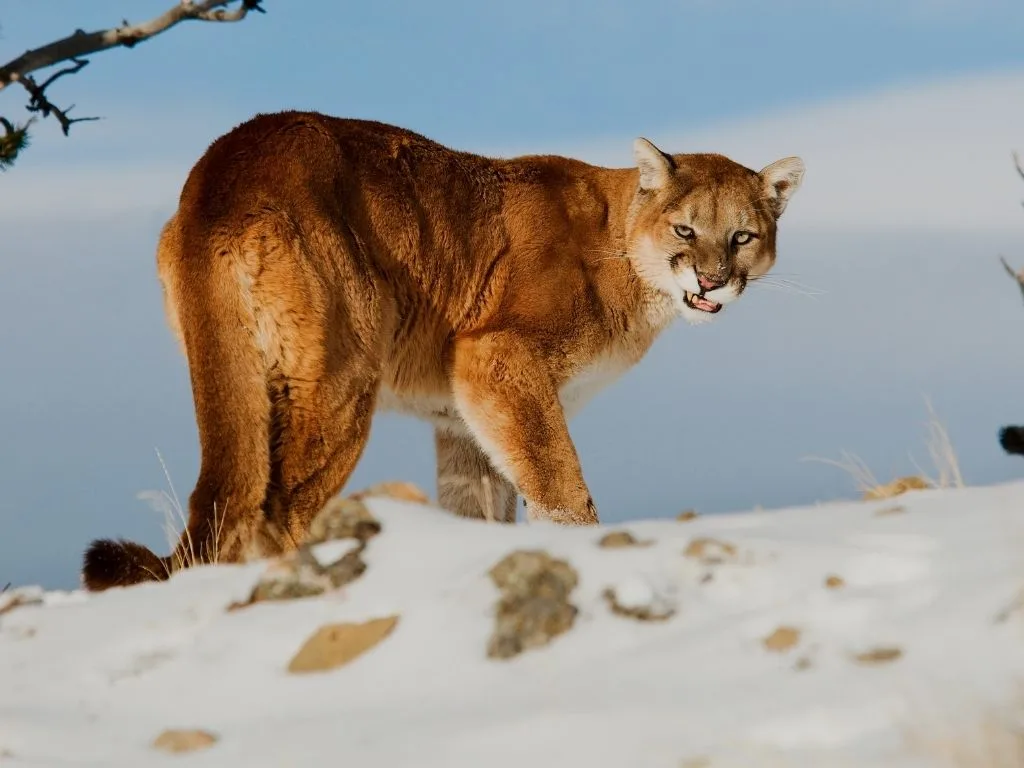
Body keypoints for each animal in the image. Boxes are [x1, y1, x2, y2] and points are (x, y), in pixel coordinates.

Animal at [81, 111, 804, 590]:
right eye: (685, 230)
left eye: (742, 236)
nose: (711, 279)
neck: (625, 247)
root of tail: (223, 166)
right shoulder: (497, 357)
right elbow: (559, 484)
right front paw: (586, 547)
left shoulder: (462, 414)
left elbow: (484, 502)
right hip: (339, 376)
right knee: (279, 505)